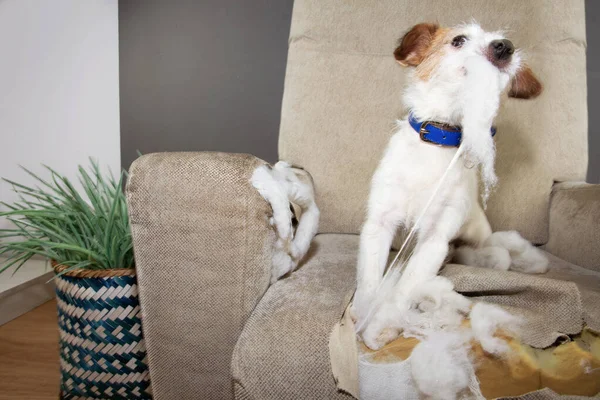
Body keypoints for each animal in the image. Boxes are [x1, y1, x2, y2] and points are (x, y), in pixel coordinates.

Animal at [352, 22, 548, 350]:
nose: (504, 47)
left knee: (492, 252)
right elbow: (369, 279)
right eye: (459, 40)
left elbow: (406, 285)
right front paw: (364, 313)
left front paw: (382, 323)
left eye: (506, 45)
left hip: (474, 234)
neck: (438, 142)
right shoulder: (379, 224)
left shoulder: (435, 239)